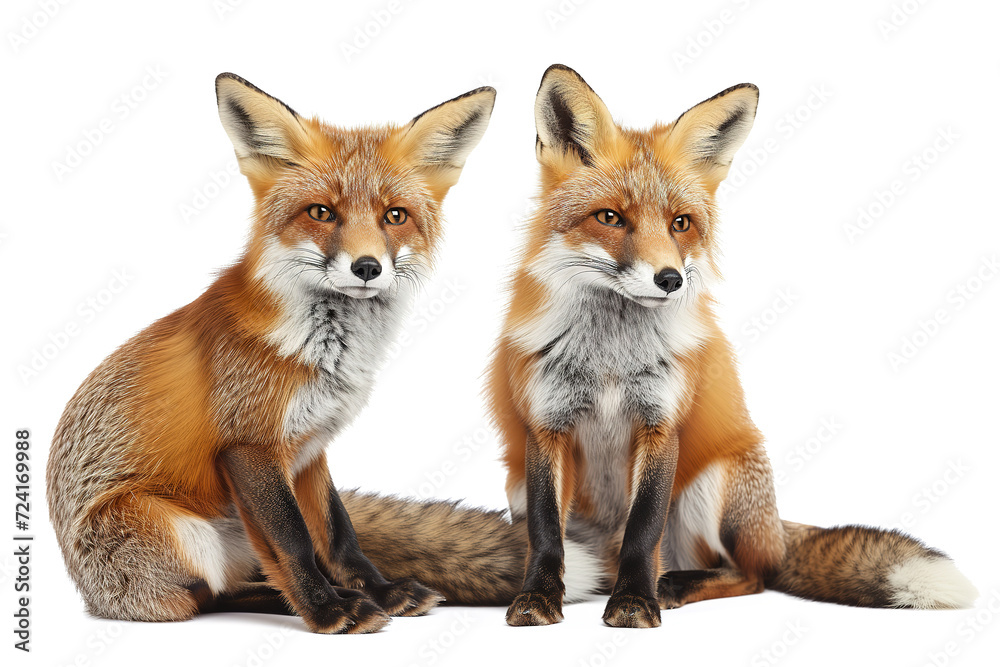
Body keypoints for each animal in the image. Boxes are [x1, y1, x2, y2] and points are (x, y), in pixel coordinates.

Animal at [47, 72, 495, 633]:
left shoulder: (310, 449)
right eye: (321, 212)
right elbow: (295, 543)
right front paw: (329, 610)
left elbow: (339, 534)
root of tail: (89, 593)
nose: (368, 267)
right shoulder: (250, 444)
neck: (325, 353)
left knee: (233, 586)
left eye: (396, 216)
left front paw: (378, 591)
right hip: (174, 530)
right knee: (204, 599)